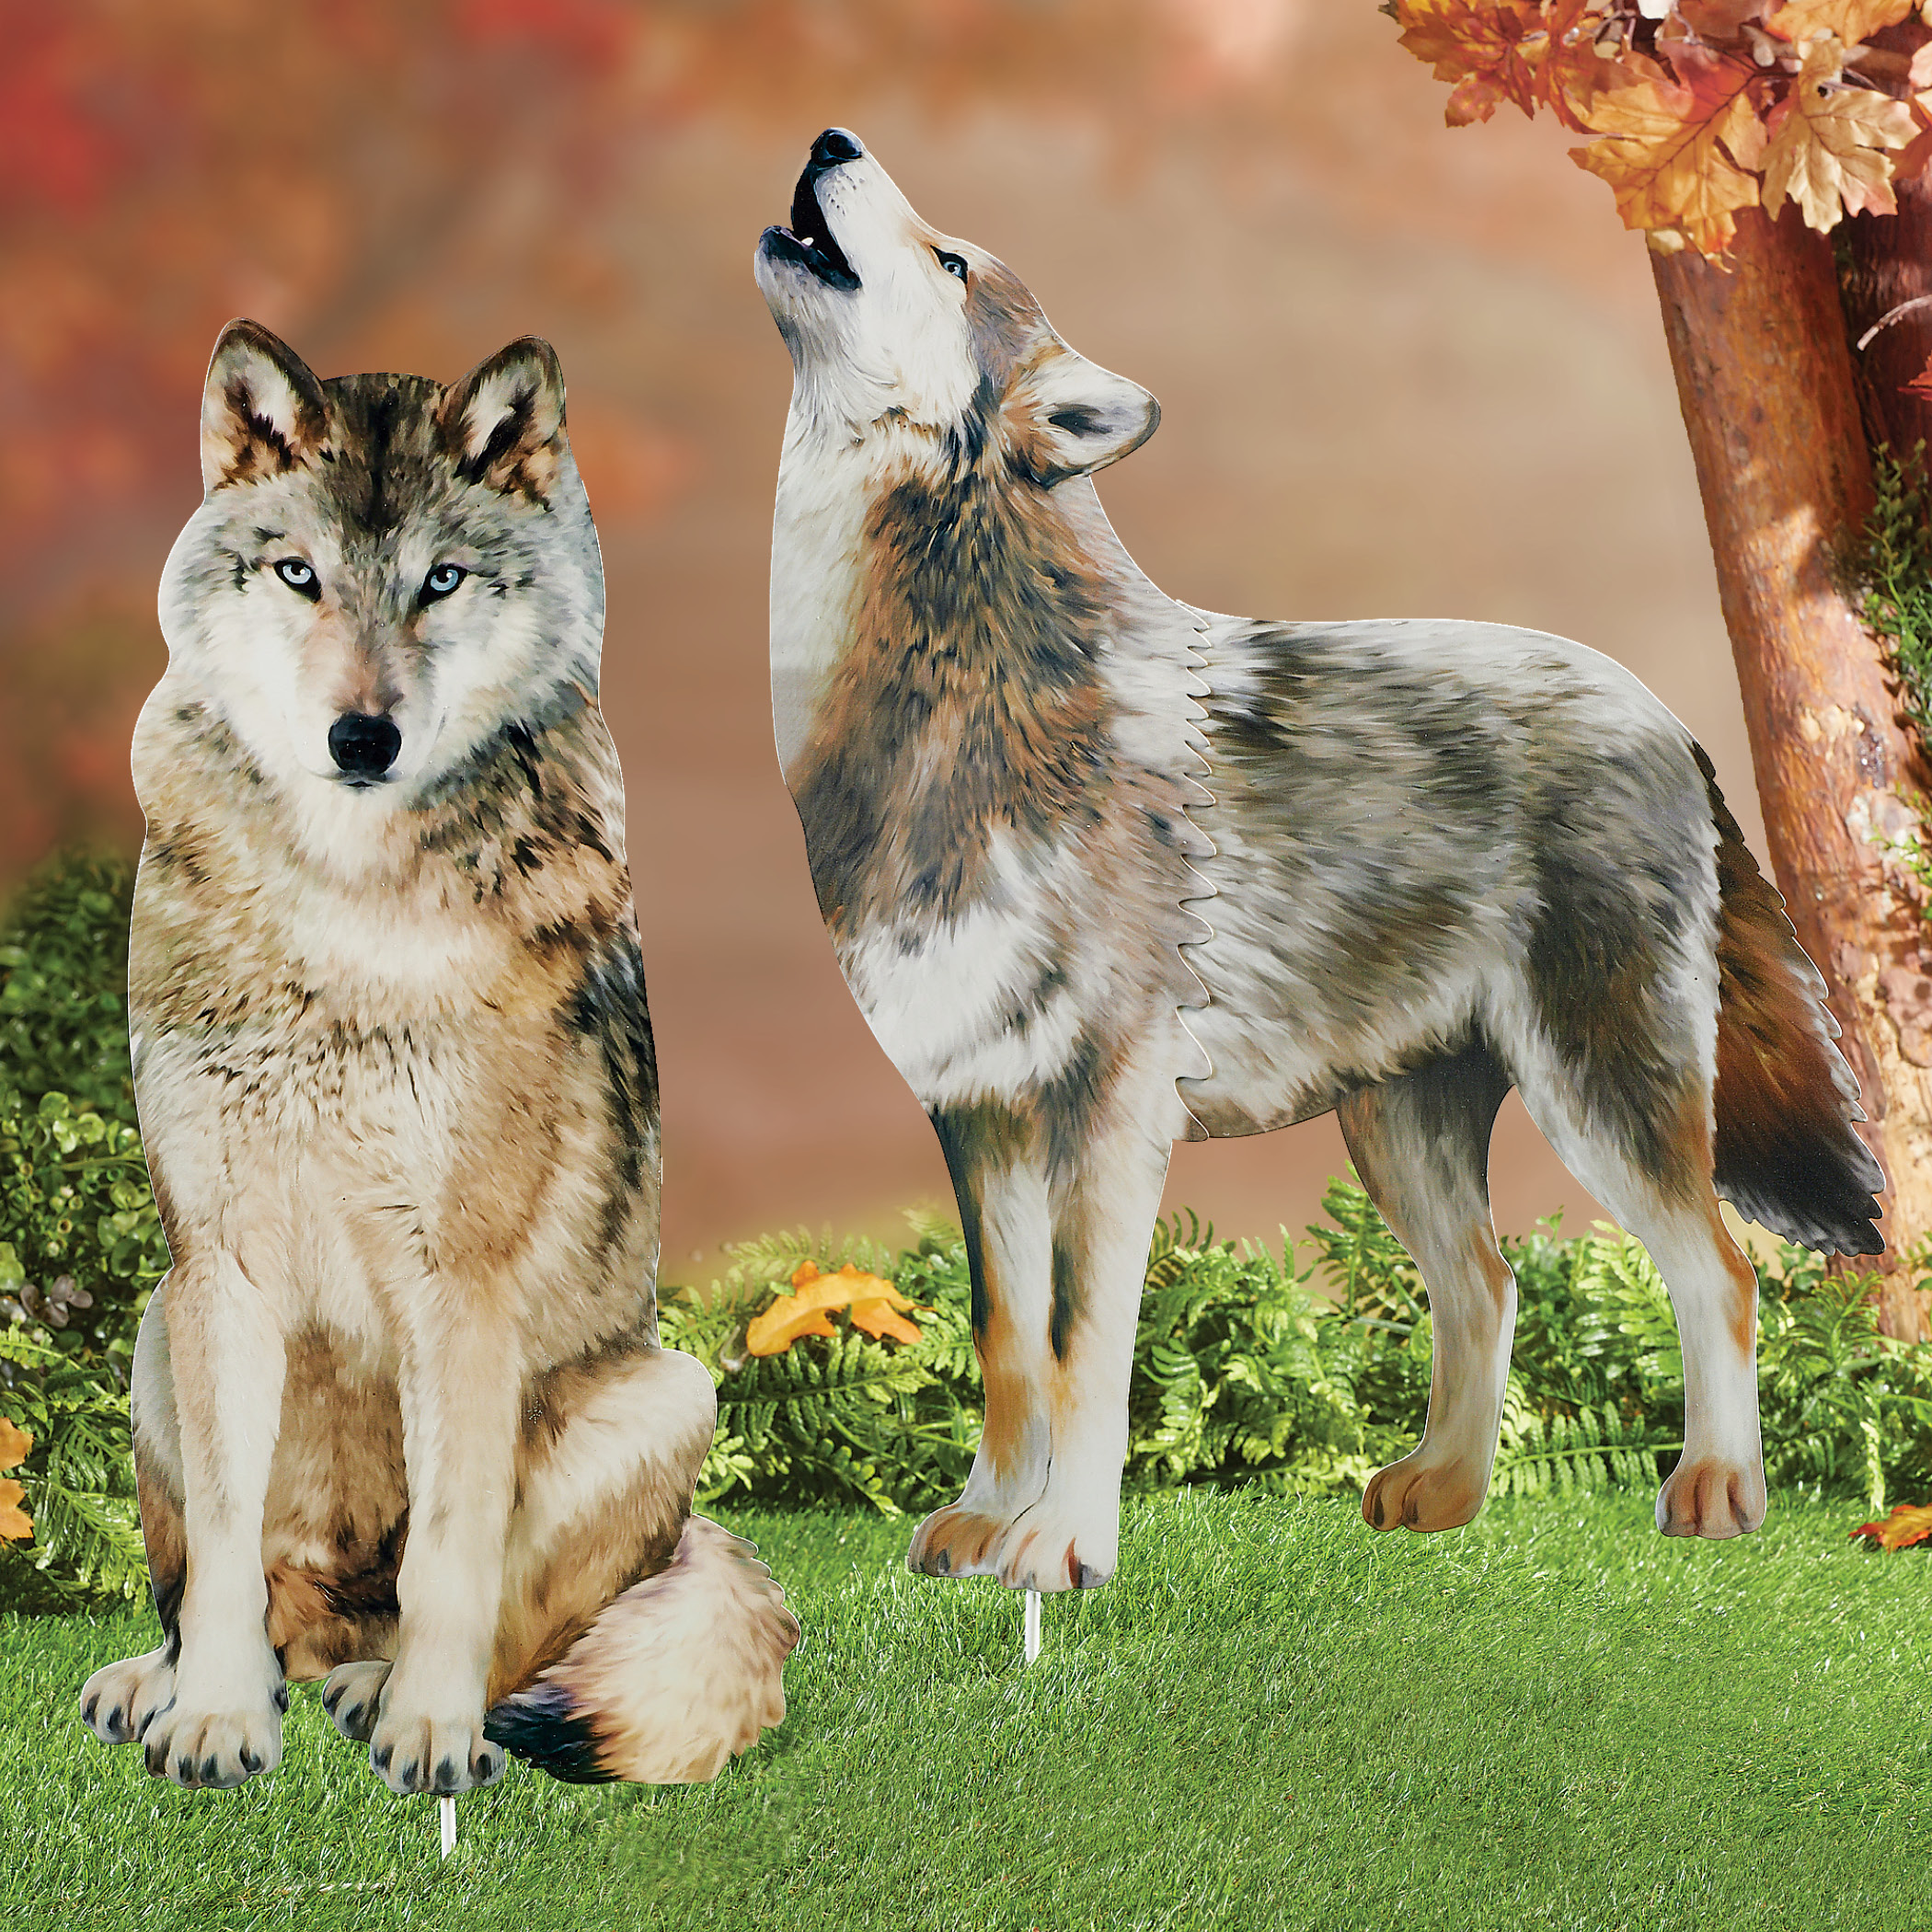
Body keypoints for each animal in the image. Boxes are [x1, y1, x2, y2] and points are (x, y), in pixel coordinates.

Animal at [77, 320, 797, 1793]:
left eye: (442, 581)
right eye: (299, 574)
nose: (365, 737)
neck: (343, 918)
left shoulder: (458, 1282)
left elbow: (451, 1559)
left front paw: (427, 1732)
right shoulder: (218, 1258)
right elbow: (224, 1556)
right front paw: (216, 1721)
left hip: (667, 1391)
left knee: (504, 1632)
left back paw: (377, 1695)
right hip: (153, 1335)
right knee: (235, 1594)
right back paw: (174, 1684)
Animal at [754, 129, 1886, 1596]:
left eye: (952, 261)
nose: (831, 139)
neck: (952, 698)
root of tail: (1670, 718)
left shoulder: (1108, 1122)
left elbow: (1080, 1352)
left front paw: (1058, 1548)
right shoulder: (977, 1116)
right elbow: (1008, 1348)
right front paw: (982, 1527)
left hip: (1599, 1100)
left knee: (1723, 1272)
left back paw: (1714, 1493)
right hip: (1397, 1131)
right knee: (1490, 1284)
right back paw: (1443, 1495)